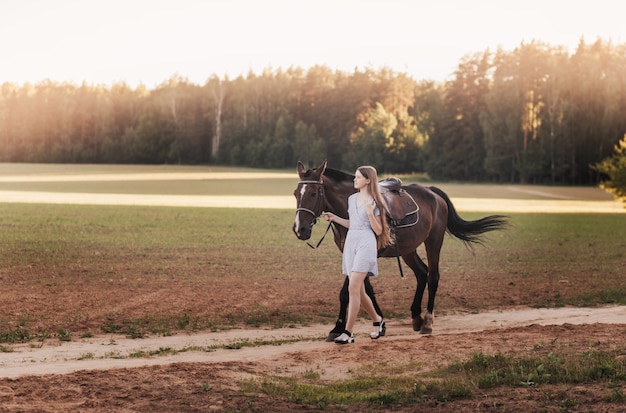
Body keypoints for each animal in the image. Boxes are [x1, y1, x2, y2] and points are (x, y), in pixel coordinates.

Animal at [292, 160, 508, 338]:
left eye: (313, 193)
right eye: (295, 194)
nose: (299, 229)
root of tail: (433, 192)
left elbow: (347, 291)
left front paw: (338, 328)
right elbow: (366, 290)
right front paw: (379, 322)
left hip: (433, 241)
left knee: (433, 276)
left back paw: (427, 322)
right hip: (408, 249)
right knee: (422, 273)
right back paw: (416, 317)